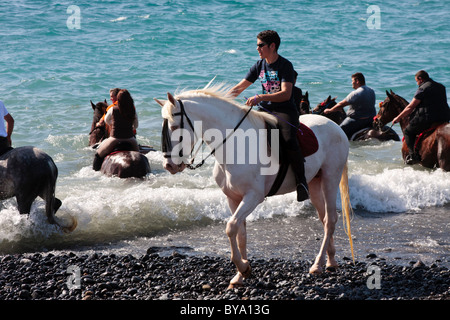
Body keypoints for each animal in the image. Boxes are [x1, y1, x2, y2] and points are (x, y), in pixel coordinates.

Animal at [156, 84, 354, 288]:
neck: (235, 144)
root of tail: (335, 127)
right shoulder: (233, 198)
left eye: (174, 127)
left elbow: (231, 227)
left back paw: (317, 264)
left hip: (330, 178)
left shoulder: (253, 197)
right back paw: (329, 261)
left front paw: (243, 267)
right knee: (323, 218)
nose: (169, 165)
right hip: (314, 184)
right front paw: (240, 275)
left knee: (330, 219)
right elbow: (240, 234)